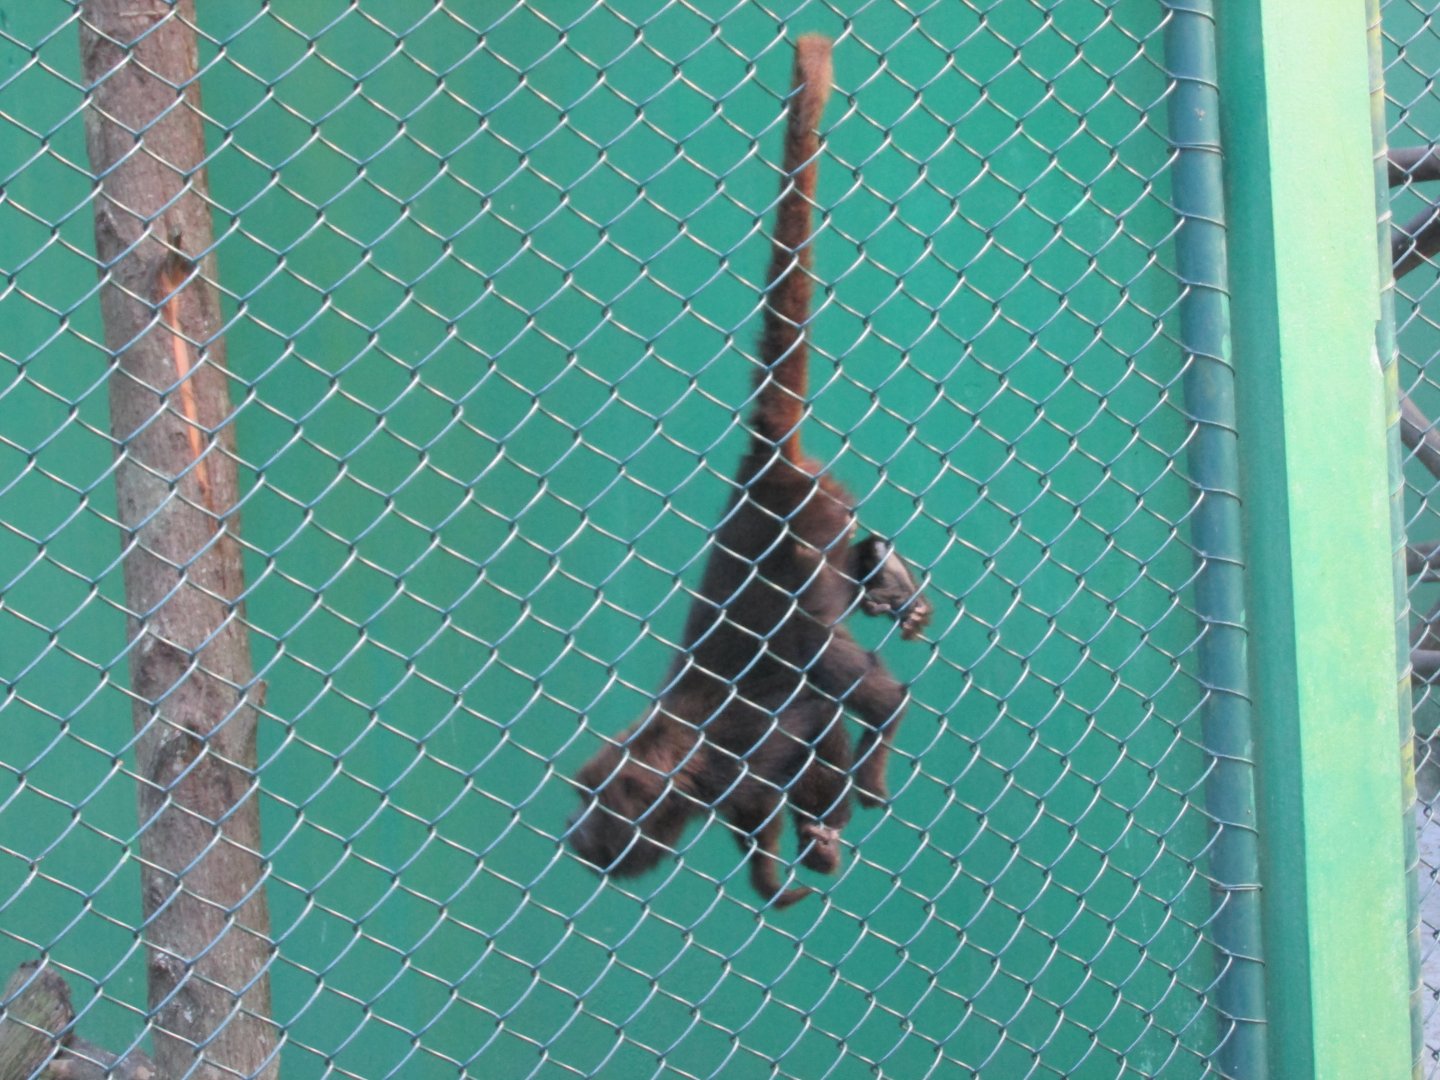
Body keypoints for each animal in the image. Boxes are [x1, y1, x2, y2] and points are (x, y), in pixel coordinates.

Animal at [568, 34, 931, 909]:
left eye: (599, 816)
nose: (571, 836)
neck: (678, 751)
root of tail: (762, 474)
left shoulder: (735, 745)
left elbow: (813, 728)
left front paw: (803, 848)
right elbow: (760, 804)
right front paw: (780, 859)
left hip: (801, 539)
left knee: (836, 668)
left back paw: (881, 727)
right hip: (820, 518)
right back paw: (884, 572)